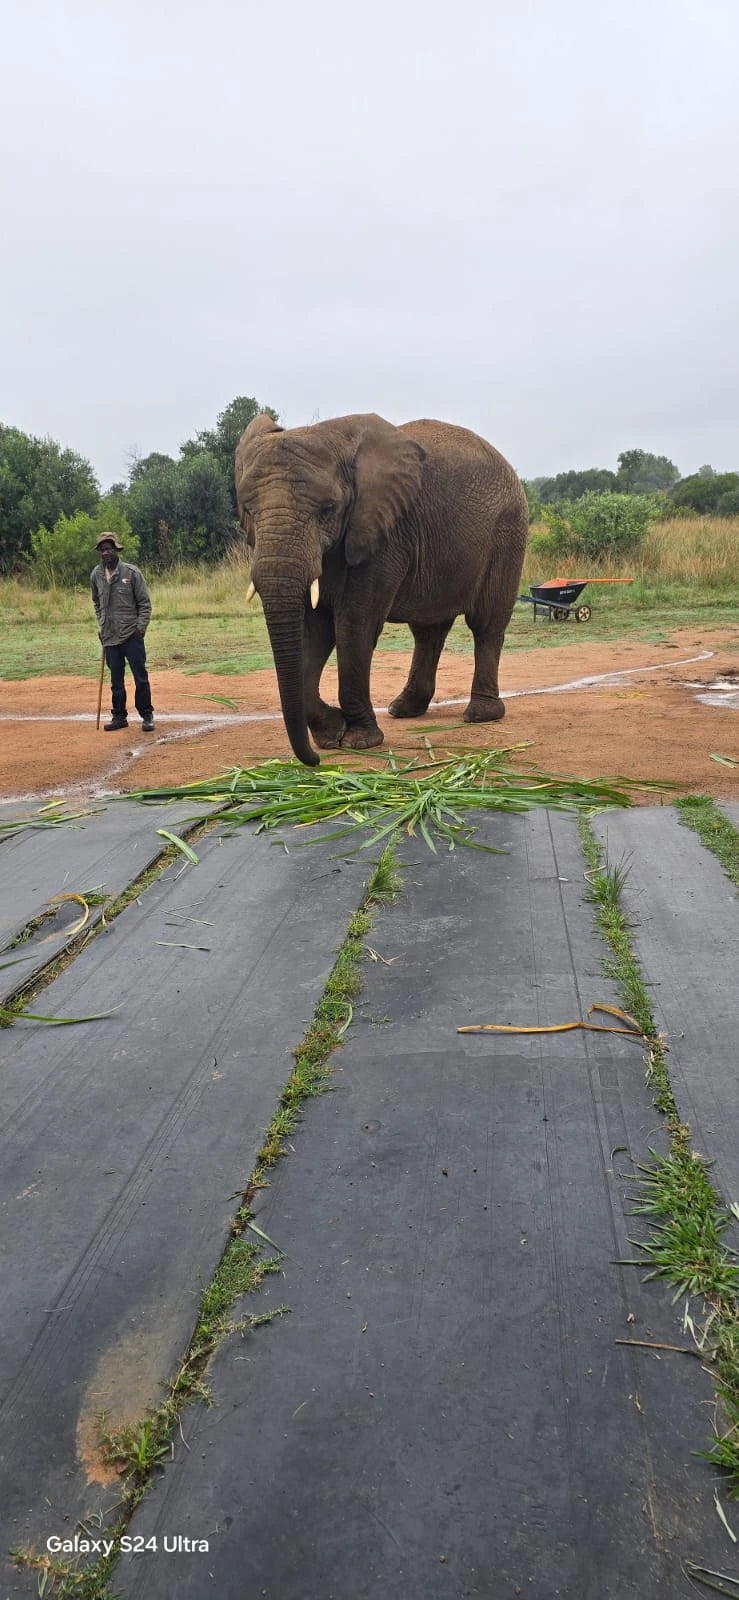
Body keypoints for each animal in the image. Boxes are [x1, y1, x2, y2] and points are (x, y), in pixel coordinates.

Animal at [234, 412, 529, 767]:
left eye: (327, 509)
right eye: (247, 511)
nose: (314, 761)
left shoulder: (385, 534)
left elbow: (354, 624)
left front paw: (360, 741)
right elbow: (313, 630)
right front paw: (331, 736)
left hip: (508, 530)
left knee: (485, 623)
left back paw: (480, 715)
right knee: (428, 630)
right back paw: (403, 709)